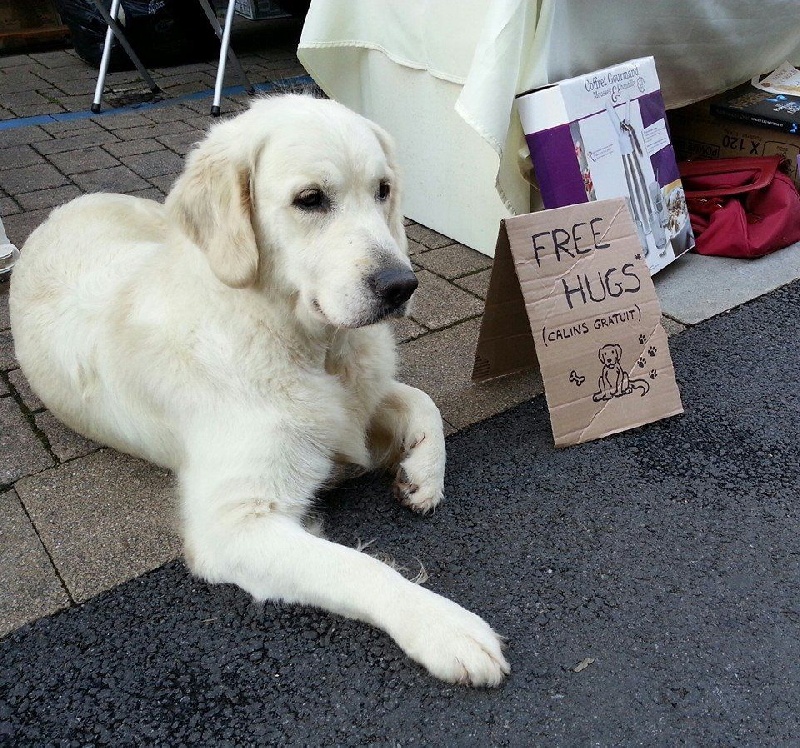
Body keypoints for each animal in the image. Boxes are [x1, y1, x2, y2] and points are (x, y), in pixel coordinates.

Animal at [10, 96, 506, 688]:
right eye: (310, 199)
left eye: (383, 189)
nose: (401, 286)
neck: (304, 343)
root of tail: (66, 206)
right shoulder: (233, 525)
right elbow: (354, 565)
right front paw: (444, 626)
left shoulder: (356, 399)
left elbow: (420, 401)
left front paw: (422, 477)